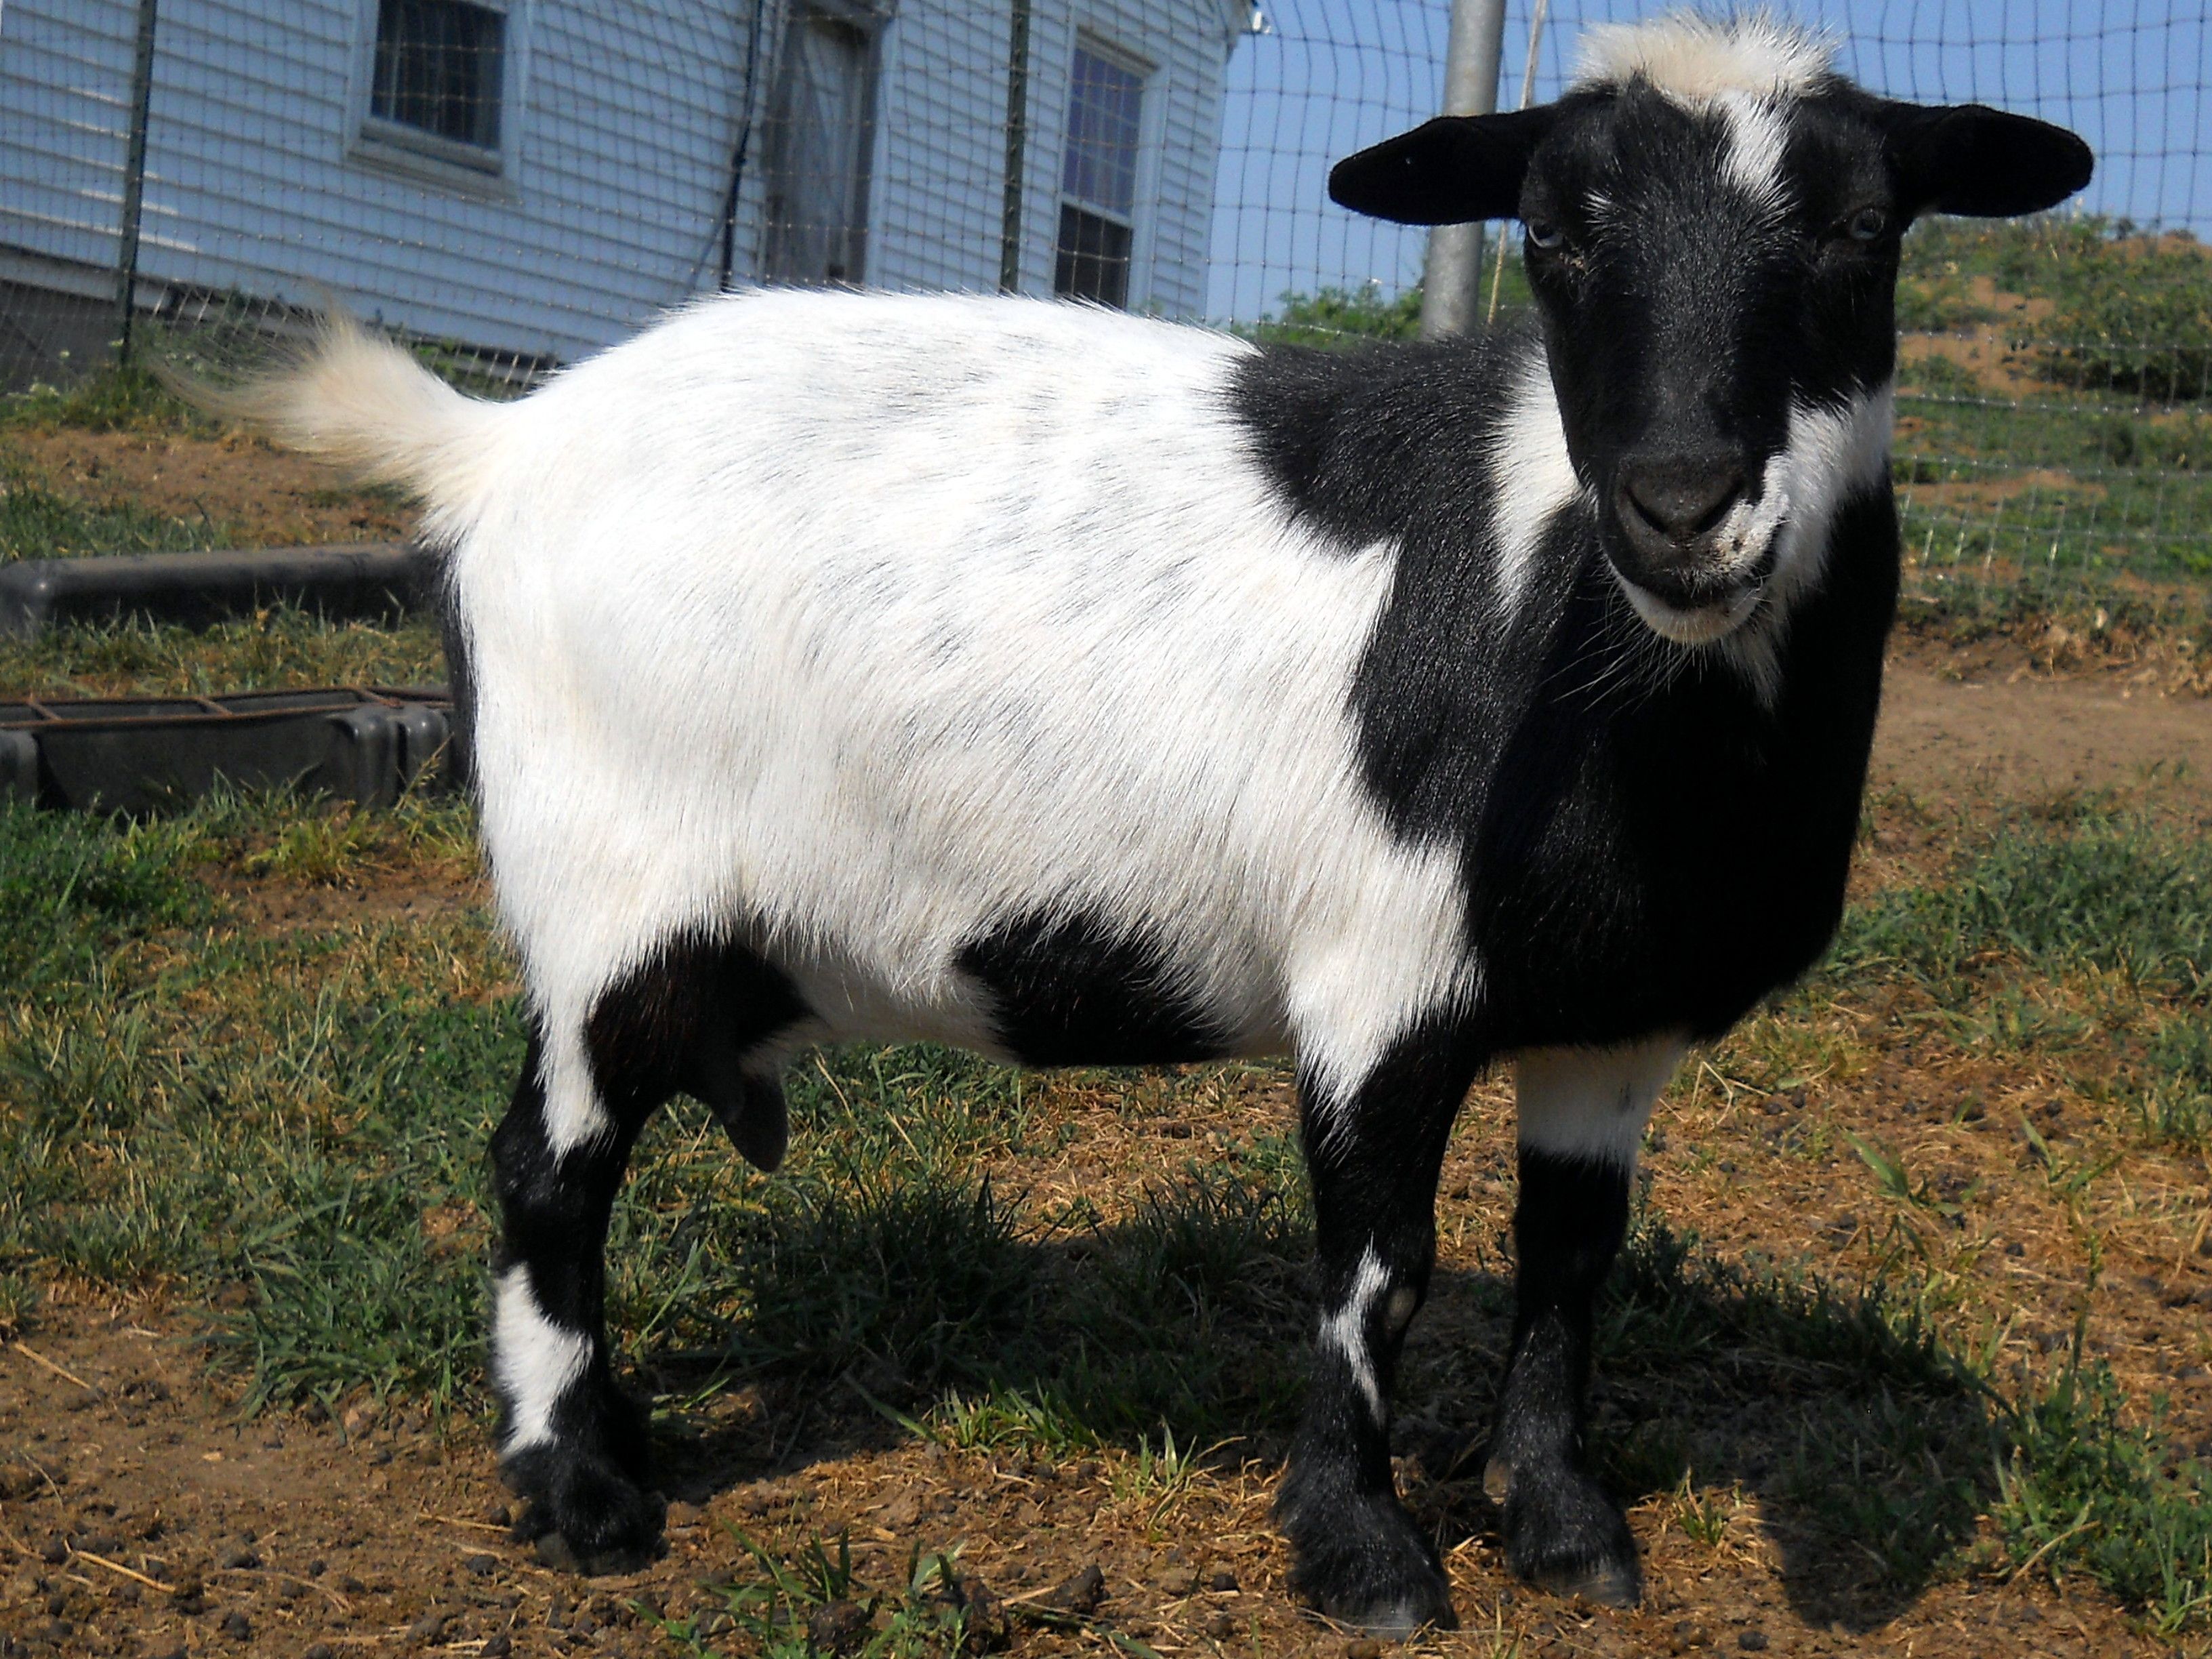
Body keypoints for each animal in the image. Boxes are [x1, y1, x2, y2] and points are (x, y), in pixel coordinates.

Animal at [214, 12, 2090, 1633]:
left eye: (1865, 230)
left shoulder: (1609, 1025)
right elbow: (1379, 1269)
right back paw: (579, 1494)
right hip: (610, 891)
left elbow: (1567, 1262)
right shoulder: (1376, 971)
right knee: (548, 1168)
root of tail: (495, 443)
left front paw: (1564, 1527)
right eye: (1554, 234)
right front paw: (1365, 1553)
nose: (1683, 505)